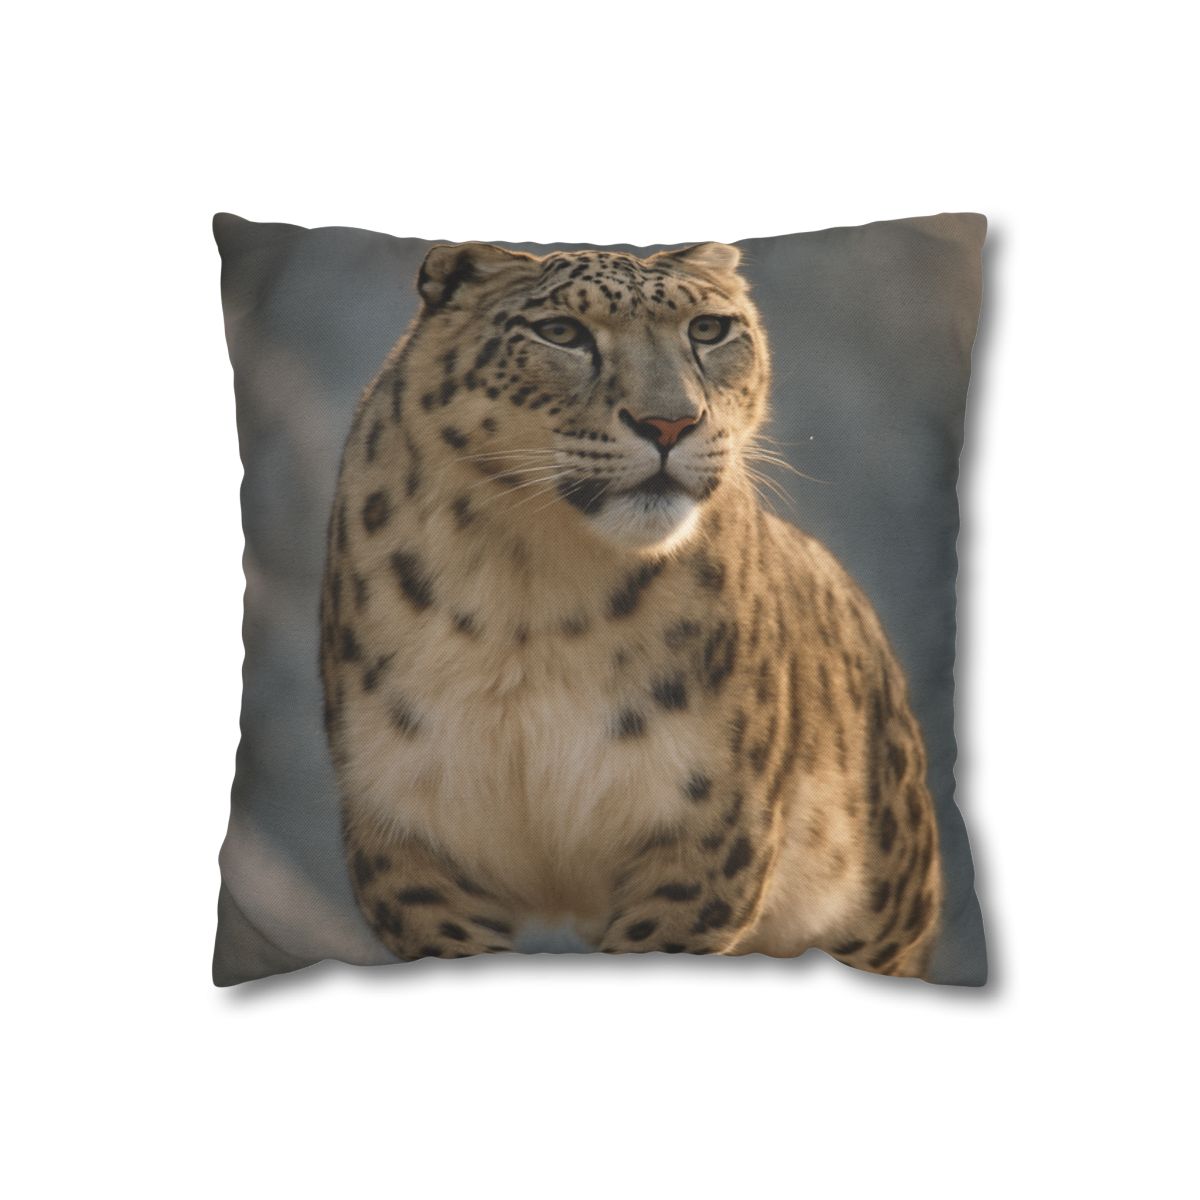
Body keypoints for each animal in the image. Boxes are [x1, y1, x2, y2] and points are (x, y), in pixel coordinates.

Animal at [319, 239, 942, 977]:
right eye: (561, 332)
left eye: (708, 329)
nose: (669, 422)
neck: (531, 590)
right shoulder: (410, 833)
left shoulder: (707, 832)